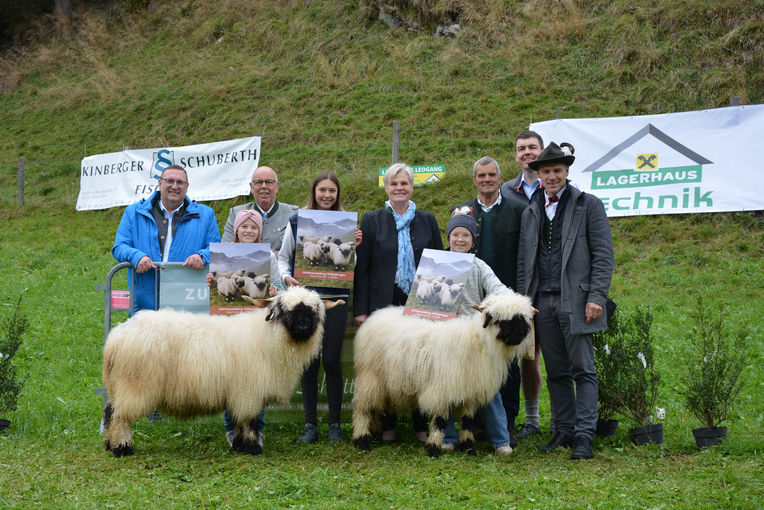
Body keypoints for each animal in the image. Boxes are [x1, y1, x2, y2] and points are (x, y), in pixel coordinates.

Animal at [101, 286, 340, 458]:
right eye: (286, 310)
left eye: (314, 310)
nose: (303, 325)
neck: (268, 338)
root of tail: (116, 337)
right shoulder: (249, 392)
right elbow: (250, 421)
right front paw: (252, 448)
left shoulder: (241, 393)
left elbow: (240, 420)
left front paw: (239, 446)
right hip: (135, 385)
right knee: (120, 416)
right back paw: (122, 448)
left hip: (118, 385)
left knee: (109, 411)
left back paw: (108, 444)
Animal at [350, 290, 536, 458]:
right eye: (504, 320)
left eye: (523, 318)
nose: (522, 333)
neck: (478, 342)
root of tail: (375, 316)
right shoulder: (440, 391)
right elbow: (440, 422)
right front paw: (434, 450)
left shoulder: (468, 393)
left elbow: (467, 423)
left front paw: (469, 449)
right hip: (370, 377)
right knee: (363, 409)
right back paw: (362, 441)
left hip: (386, 381)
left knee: (376, 408)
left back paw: (374, 434)